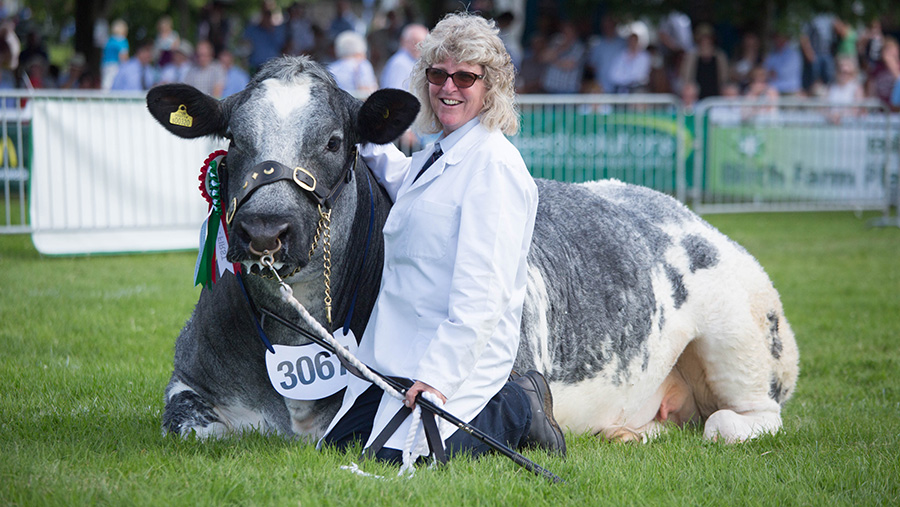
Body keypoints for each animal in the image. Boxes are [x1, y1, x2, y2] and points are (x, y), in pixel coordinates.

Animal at [149, 54, 800, 444]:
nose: (265, 229)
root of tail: (680, 210)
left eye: (334, 140)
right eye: (234, 139)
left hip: (744, 334)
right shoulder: (188, 381)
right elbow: (197, 427)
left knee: (732, 422)